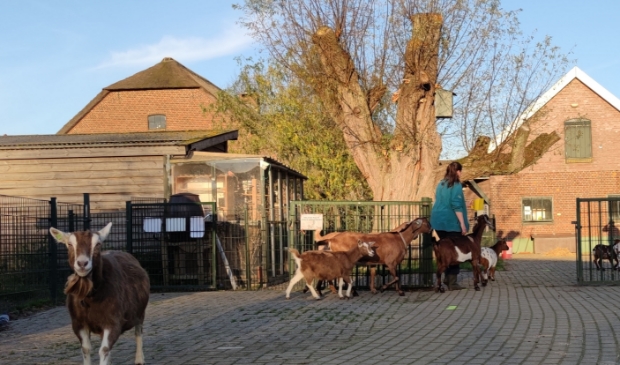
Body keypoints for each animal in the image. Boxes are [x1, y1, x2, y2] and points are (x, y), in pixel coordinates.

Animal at [49, 222, 149, 364]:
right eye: (69, 244)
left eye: (97, 244)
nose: (82, 263)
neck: (91, 298)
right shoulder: (79, 323)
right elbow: (86, 349)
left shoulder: (113, 322)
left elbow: (104, 350)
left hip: (140, 311)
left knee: (138, 331)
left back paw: (139, 359)